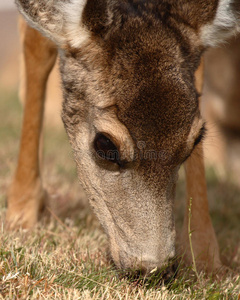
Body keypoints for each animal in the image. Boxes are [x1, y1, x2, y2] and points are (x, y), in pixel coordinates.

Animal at [7, 0, 240, 276]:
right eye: (105, 144)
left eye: (196, 139)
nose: (151, 268)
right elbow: (37, 47)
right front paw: (20, 214)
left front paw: (205, 257)